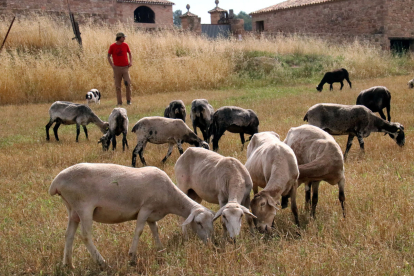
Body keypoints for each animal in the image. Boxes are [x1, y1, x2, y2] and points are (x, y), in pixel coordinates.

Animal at [50, 163, 215, 268]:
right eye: (199, 223)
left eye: (211, 224)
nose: (210, 243)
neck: (170, 197)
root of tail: (56, 182)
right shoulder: (145, 208)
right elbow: (139, 231)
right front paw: (132, 256)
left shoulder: (152, 214)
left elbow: (155, 230)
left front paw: (160, 249)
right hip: (84, 207)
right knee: (85, 236)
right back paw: (102, 262)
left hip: (72, 209)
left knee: (69, 234)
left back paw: (68, 264)